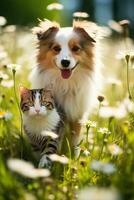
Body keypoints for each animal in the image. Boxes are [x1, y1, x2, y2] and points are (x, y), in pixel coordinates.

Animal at [30, 19, 101, 152]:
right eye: (56, 48)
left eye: (76, 48)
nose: (65, 62)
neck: (66, 84)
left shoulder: (77, 115)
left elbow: (74, 142)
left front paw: (72, 155)